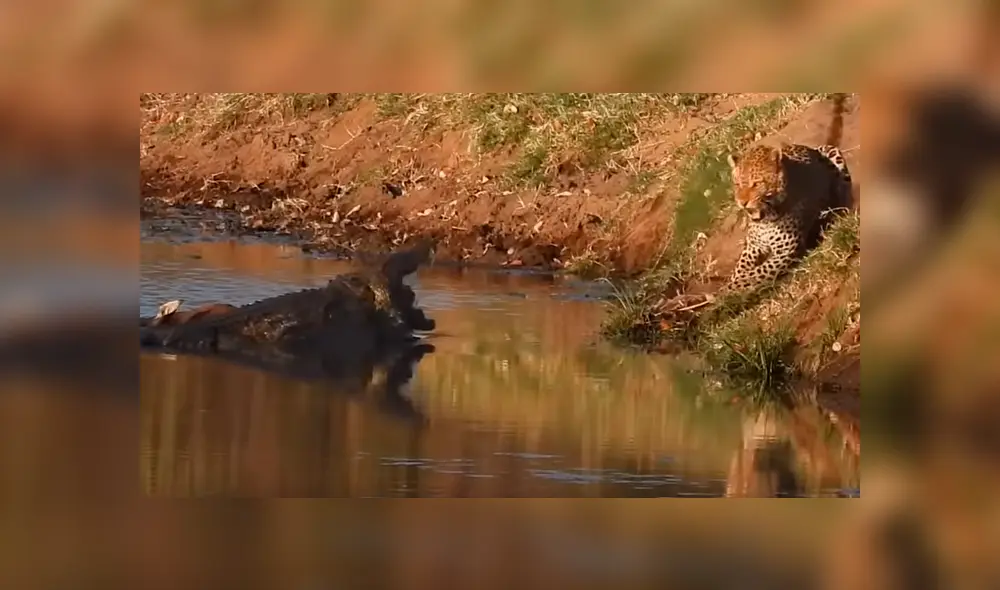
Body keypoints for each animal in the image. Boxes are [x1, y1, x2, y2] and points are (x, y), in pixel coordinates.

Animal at [720, 94, 853, 296]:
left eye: (756, 184)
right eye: (737, 184)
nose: (742, 203)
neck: (766, 218)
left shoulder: (786, 252)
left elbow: (754, 274)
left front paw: (723, 293)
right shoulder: (753, 246)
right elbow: (741, 269)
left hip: (832, 151)